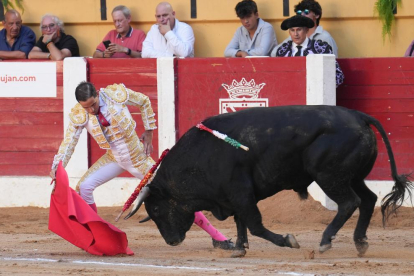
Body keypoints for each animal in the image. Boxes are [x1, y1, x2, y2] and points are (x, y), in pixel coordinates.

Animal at [128, 105, 412, 256]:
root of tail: (360, 116)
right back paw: (360, 242)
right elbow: (241, 222)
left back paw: (325, 241)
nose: (171, 241)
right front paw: (239, 248)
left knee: (349, 203)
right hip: (352, 177)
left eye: (156, 209)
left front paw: (288, 240)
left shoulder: (240, 192)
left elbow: (255, 224)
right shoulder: (233, 196)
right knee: (368, 199)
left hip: (329, 176)